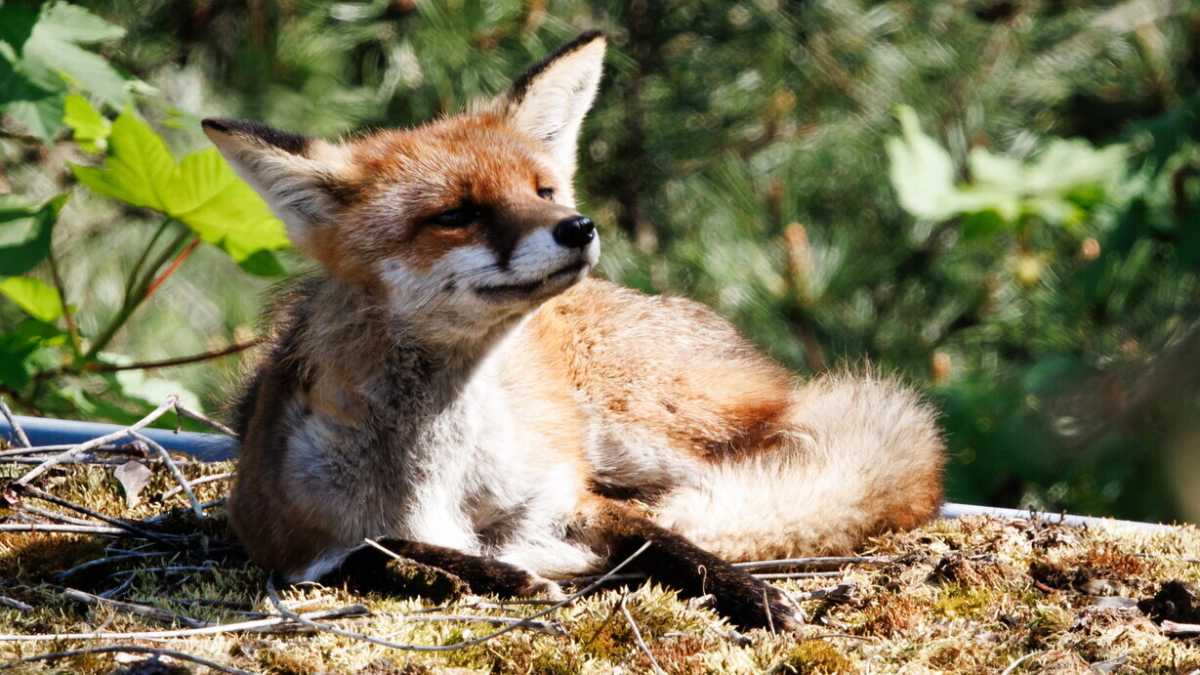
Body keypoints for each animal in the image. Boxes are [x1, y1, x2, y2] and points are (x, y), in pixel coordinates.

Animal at [203, 31, 945, 632]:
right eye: (456, 214)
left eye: (543, 190)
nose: (577, 226)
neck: (441, 474)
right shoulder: (278, 537)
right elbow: (370, 549)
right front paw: (478, 572)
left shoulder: (573, 498)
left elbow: (666, 540)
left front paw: (749, 593)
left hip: (646, 425)